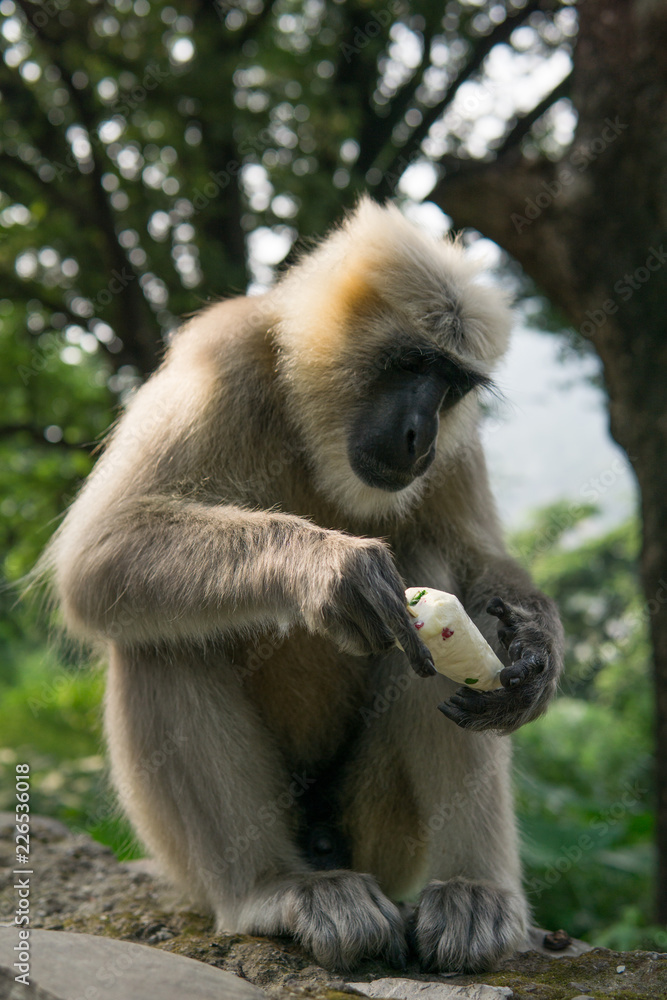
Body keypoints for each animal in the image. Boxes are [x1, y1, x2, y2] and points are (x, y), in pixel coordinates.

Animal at [41, 198, 564, 973]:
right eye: (410, 365)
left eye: (450, 386)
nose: (421, 432)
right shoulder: (223, 353)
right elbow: (97, 559)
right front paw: (329, 571)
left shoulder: (457, 438)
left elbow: (477, 568)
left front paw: (538, 650)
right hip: (189, 861)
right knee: (158, 633)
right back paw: (273, 888)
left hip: (379, 836)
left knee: (437, 576)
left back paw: (473, 894)